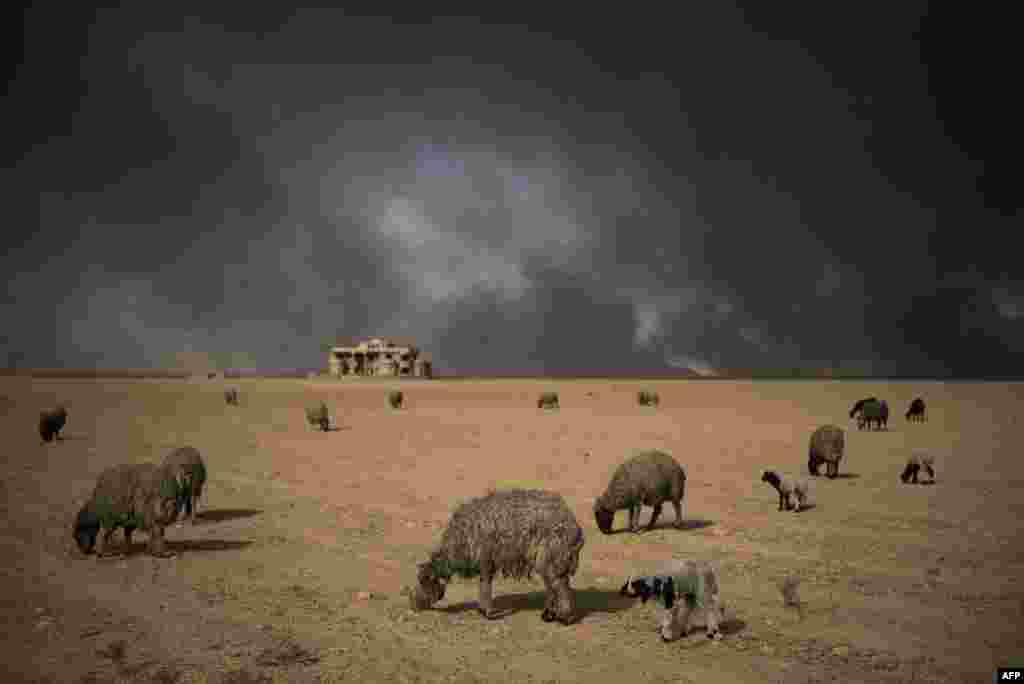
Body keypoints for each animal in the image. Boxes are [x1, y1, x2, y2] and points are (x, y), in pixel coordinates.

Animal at [407, 485, 585, 626]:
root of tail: (574, 524)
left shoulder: (486, 560)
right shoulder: (485, 562)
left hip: (552, 555)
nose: (413, 605)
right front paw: (483, 610)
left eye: (424, 582)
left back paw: (564, 618)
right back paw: (548, 615)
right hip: (549, 559)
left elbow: (485, 584)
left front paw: (487, 612)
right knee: (552, 586)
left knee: (559, 586)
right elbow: (483, 583)